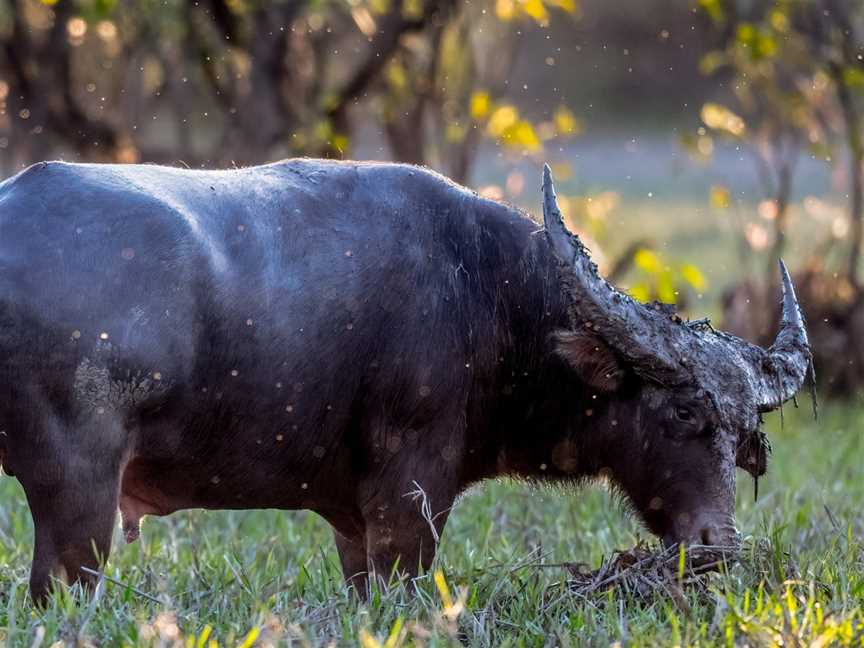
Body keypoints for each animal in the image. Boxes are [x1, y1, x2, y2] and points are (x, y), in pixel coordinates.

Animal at [0, 158, 808, 604]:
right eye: (682, 414)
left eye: (745, 435)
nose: (715, 545)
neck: (489, 296)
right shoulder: (409, 494)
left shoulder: (354, 519)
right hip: (80, 490)